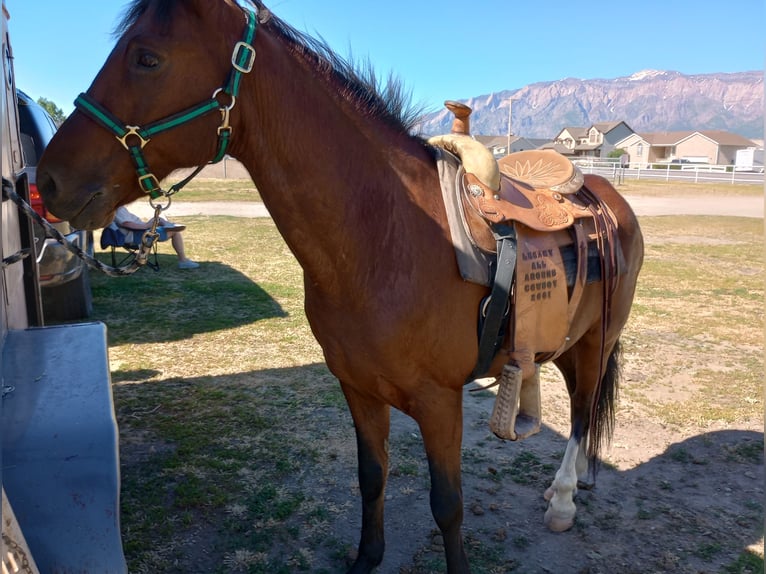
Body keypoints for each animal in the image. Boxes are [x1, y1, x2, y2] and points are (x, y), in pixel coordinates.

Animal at [39, 2, 644, 572]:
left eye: (147, 58)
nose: (46, 181)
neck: (386, 237)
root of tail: (606, 195)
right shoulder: (357, 389)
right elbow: (371, 477)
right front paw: (366, 557)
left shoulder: (439, 403)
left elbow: (447, 505)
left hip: (597, 341)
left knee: (583, 410)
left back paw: (563, 499)